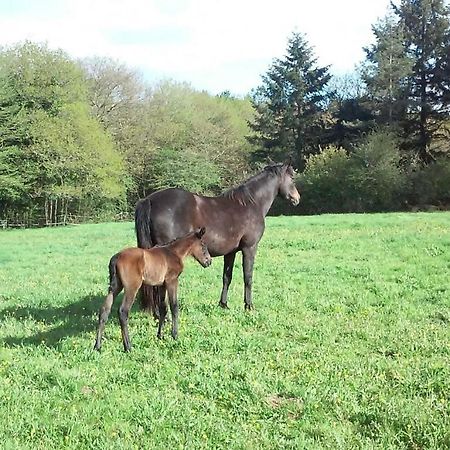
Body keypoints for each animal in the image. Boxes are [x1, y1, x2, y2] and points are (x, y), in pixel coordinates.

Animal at [135, 162, 300, 316]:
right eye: (292, 178)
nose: (297, 198)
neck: (251, 204)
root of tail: (149, 200)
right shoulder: (249, 248)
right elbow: (248, 277)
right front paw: (249, 306)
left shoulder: (230, 252)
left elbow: (227, 277)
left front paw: (223, 304)